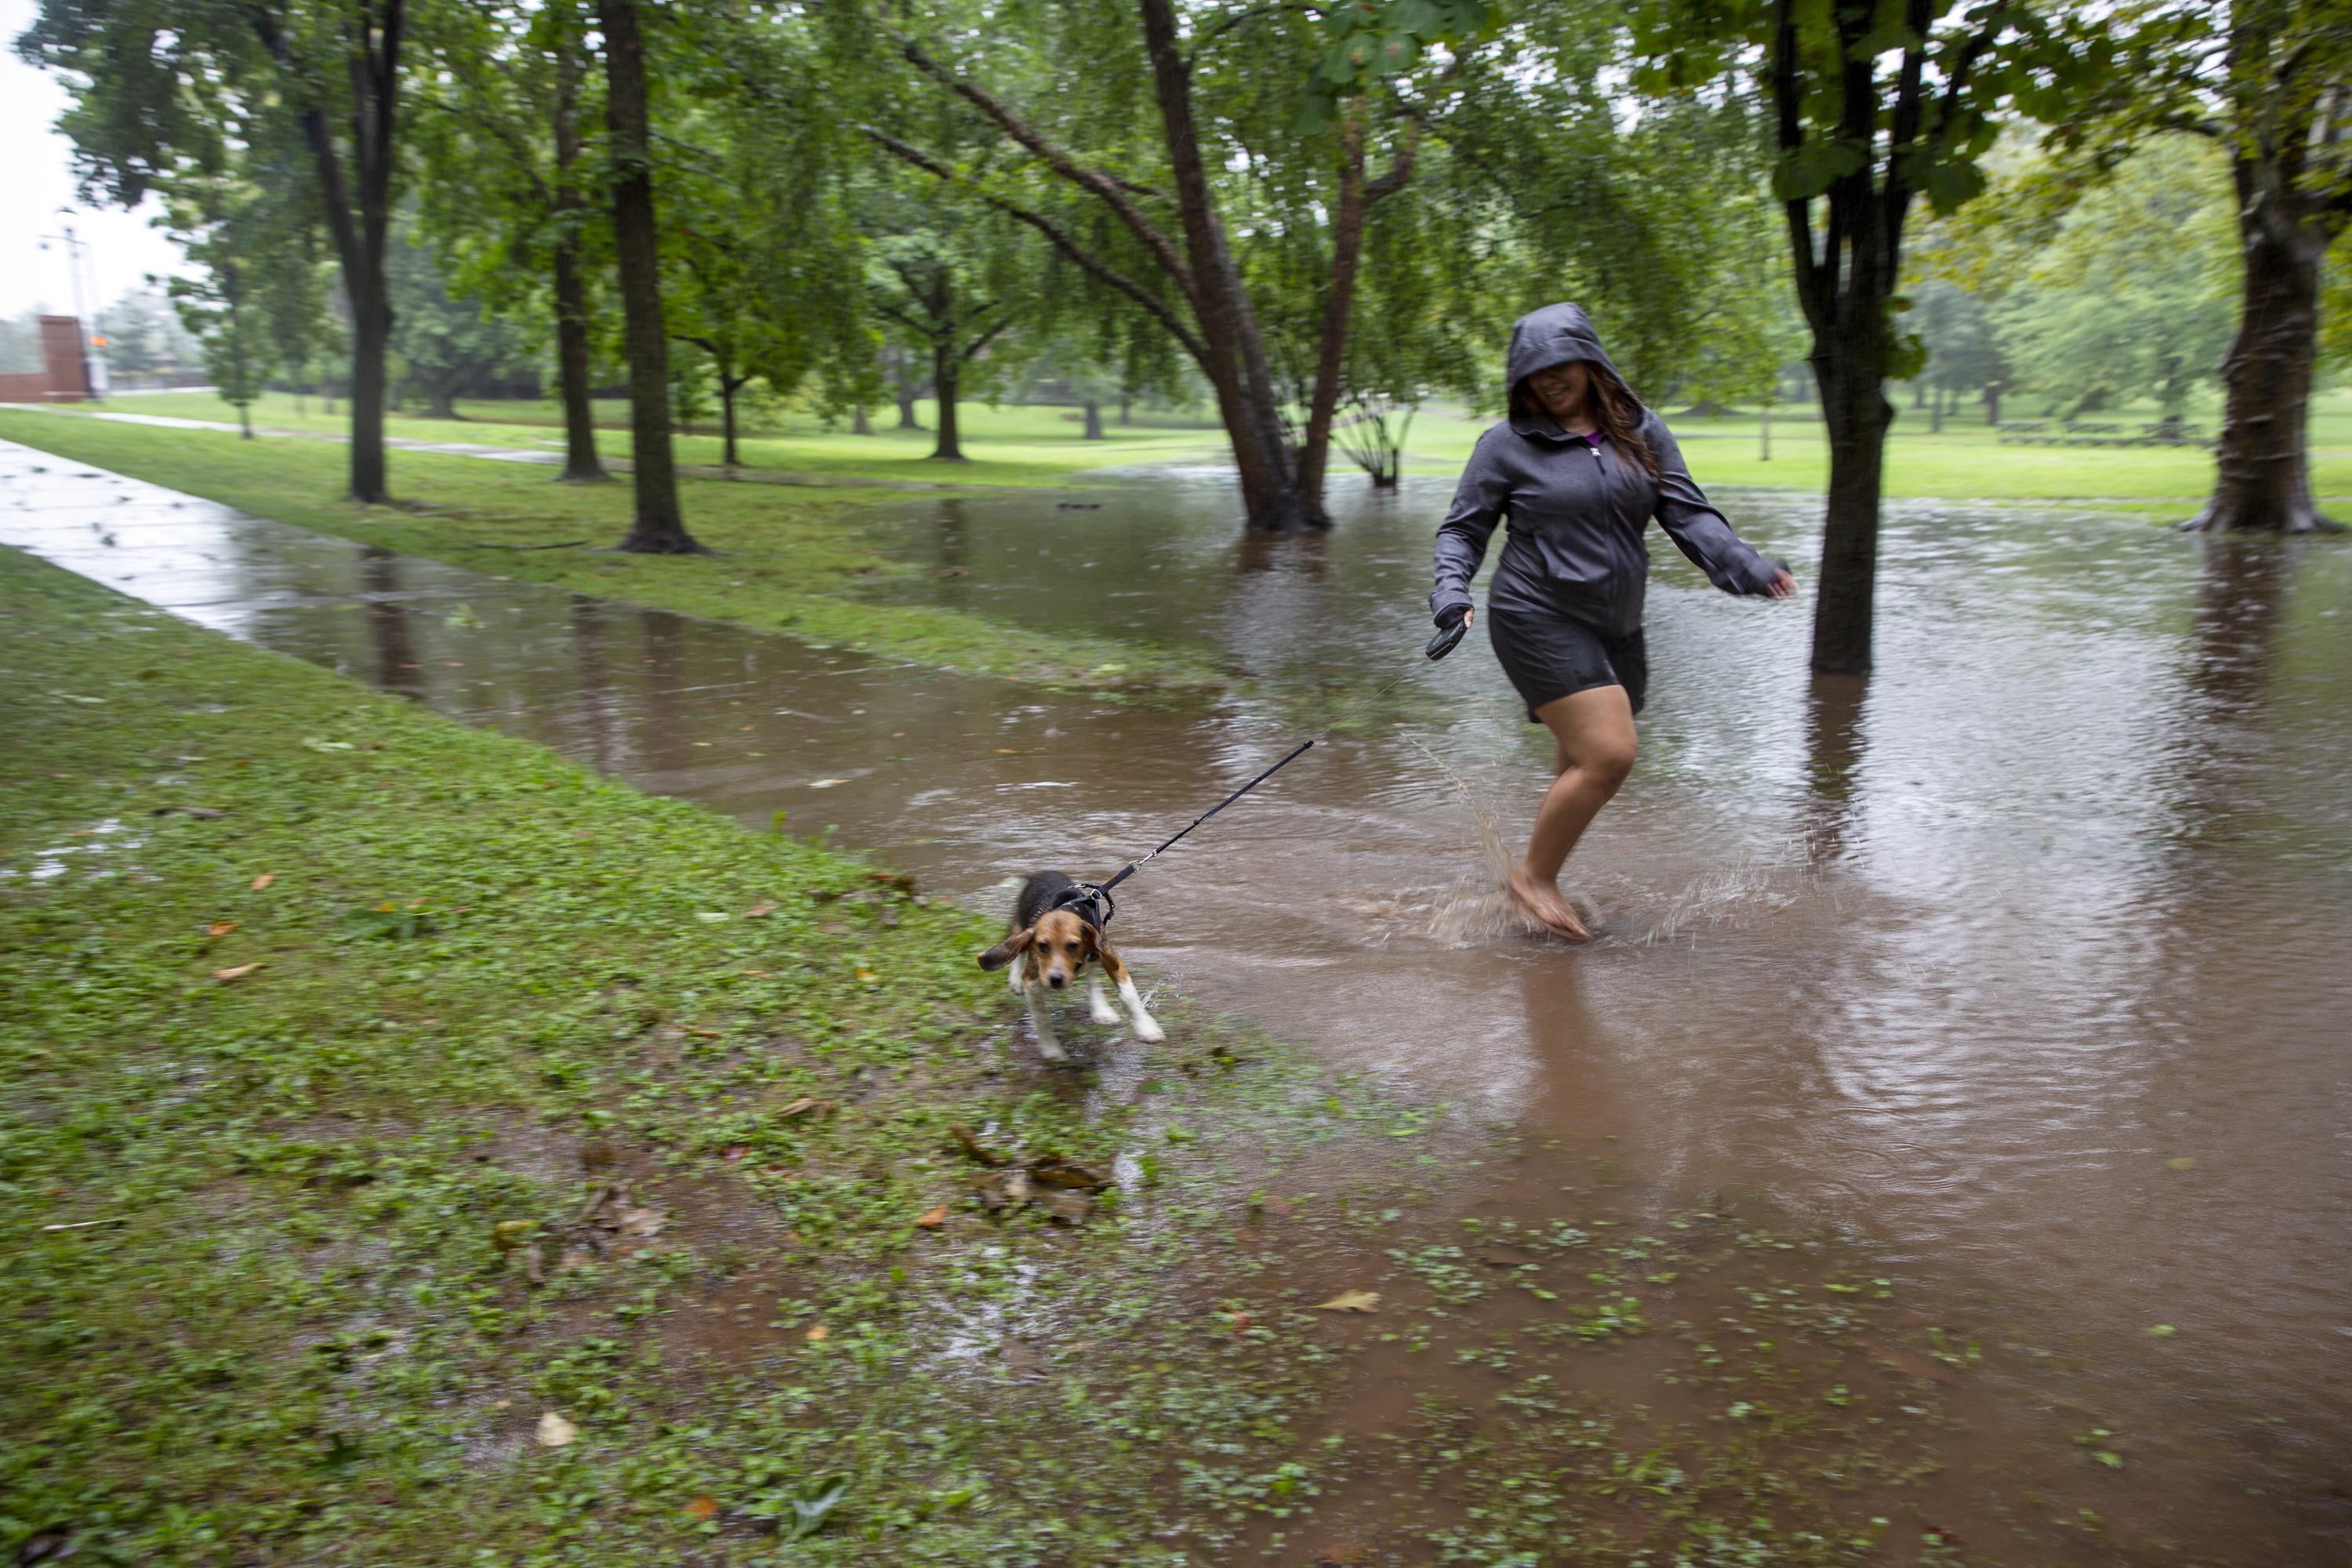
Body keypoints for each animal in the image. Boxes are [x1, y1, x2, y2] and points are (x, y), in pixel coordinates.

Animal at [978, 869, 1162, 1053]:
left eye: (1073, 945)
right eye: (1042, 946)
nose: (1055, 979)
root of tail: (1040, 873)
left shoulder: (1111, 959)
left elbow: (1129, 996)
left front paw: (1147, 1028)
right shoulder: (1032, 978)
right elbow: (1041, 1016)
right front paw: (1051, 1049)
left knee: (1090, 975)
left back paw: (1101, 1009)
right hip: (1020, 922)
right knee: (1015, 945)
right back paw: (1015, 980)